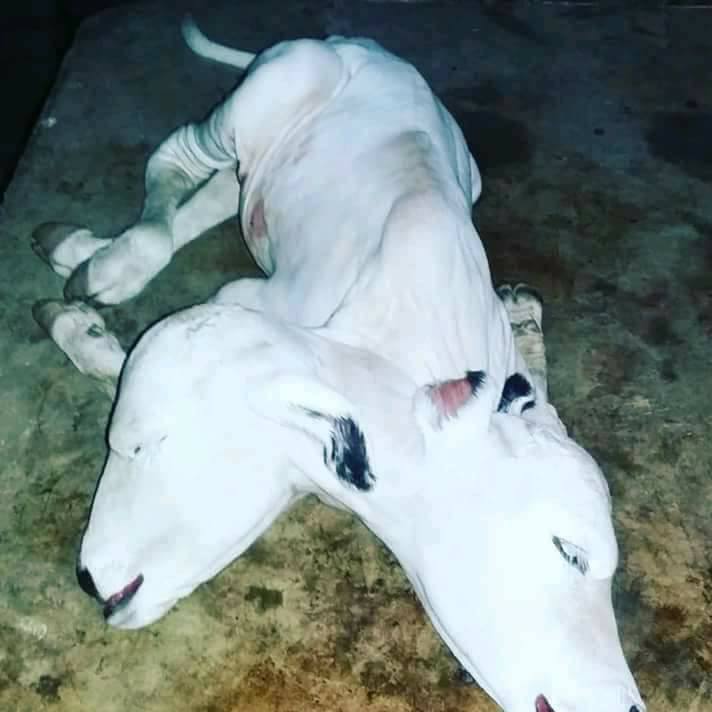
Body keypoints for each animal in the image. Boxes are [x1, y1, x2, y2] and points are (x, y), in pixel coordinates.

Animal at [32, 18, 645, 712]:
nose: (630, 704)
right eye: (571, 553)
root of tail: (366, 46)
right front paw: (76, 324)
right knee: (177, 158)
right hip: (271, 87)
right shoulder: (243, 309)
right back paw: (107, 260)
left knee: (224, 189)